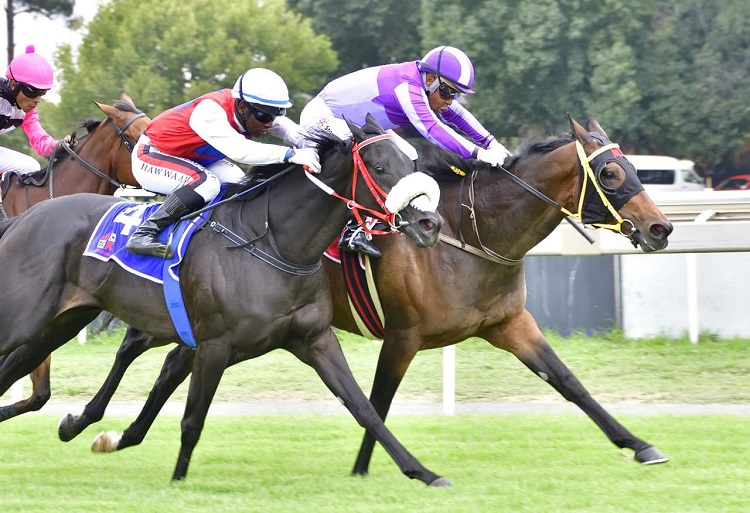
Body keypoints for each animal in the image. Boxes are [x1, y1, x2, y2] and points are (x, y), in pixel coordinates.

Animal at [56, 115, 674, 476]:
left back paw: (121, 435)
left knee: (170, 367)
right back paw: (88, 422)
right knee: (134, 348)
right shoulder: (403, 335)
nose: (661, 229)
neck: (469, 234)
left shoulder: (507, 323)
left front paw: (640, 444)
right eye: (612, 174)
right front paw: (368, 466)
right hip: (177, 312)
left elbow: (569, 382)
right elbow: (376, 401)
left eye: (633, 166)